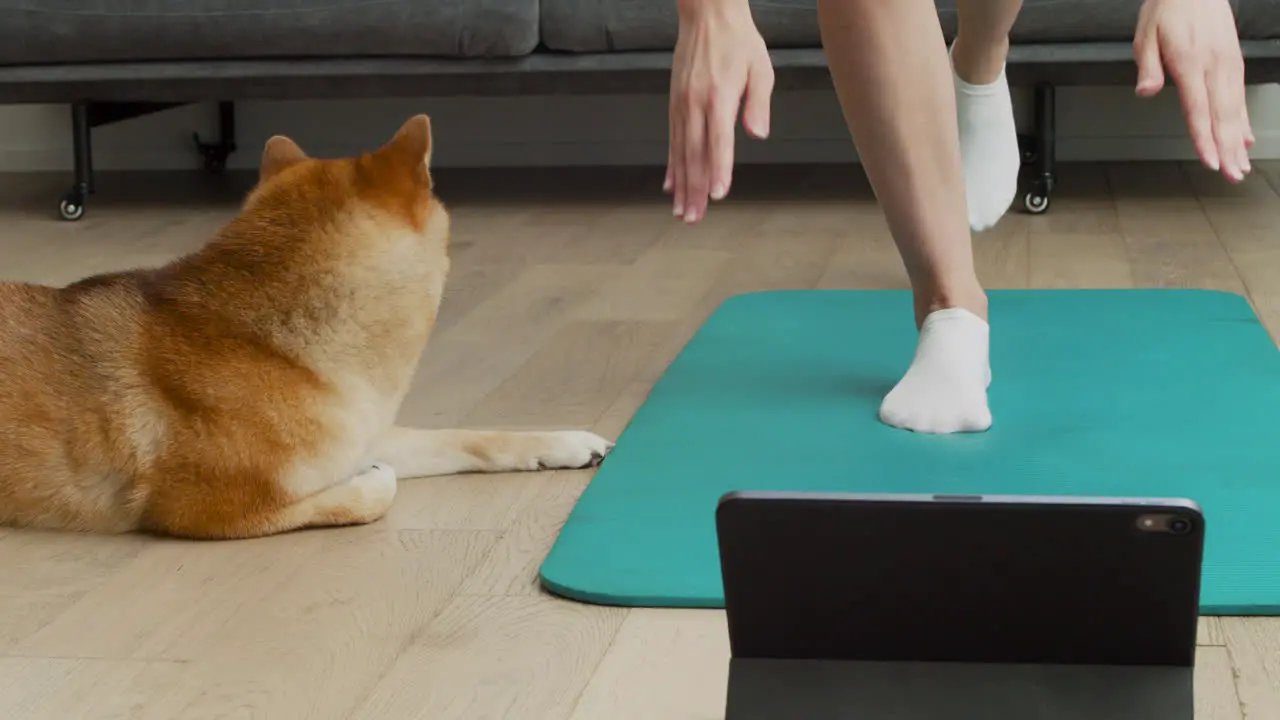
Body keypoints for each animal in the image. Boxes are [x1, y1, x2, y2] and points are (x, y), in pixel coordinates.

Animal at [0, 112, 614, 538]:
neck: (274, 346)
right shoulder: (203, 509)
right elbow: (371, 493)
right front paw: (374, 477)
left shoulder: (357, 430)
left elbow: (468, 438)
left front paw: (562, 443)